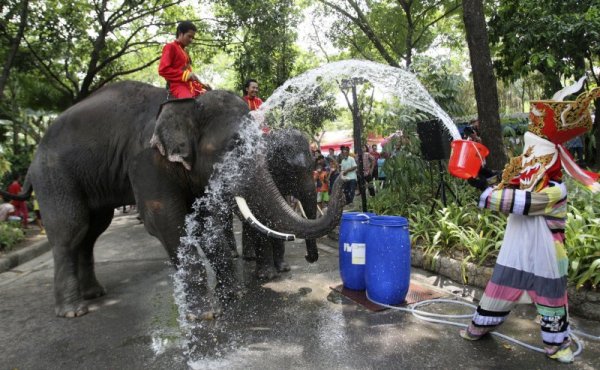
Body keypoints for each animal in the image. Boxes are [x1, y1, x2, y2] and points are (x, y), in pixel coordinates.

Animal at [241, 129, 322, 278]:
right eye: (290, 170)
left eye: (313, 166)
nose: (307, 257)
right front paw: (267, 275)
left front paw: (284, 268)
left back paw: (250, 257)